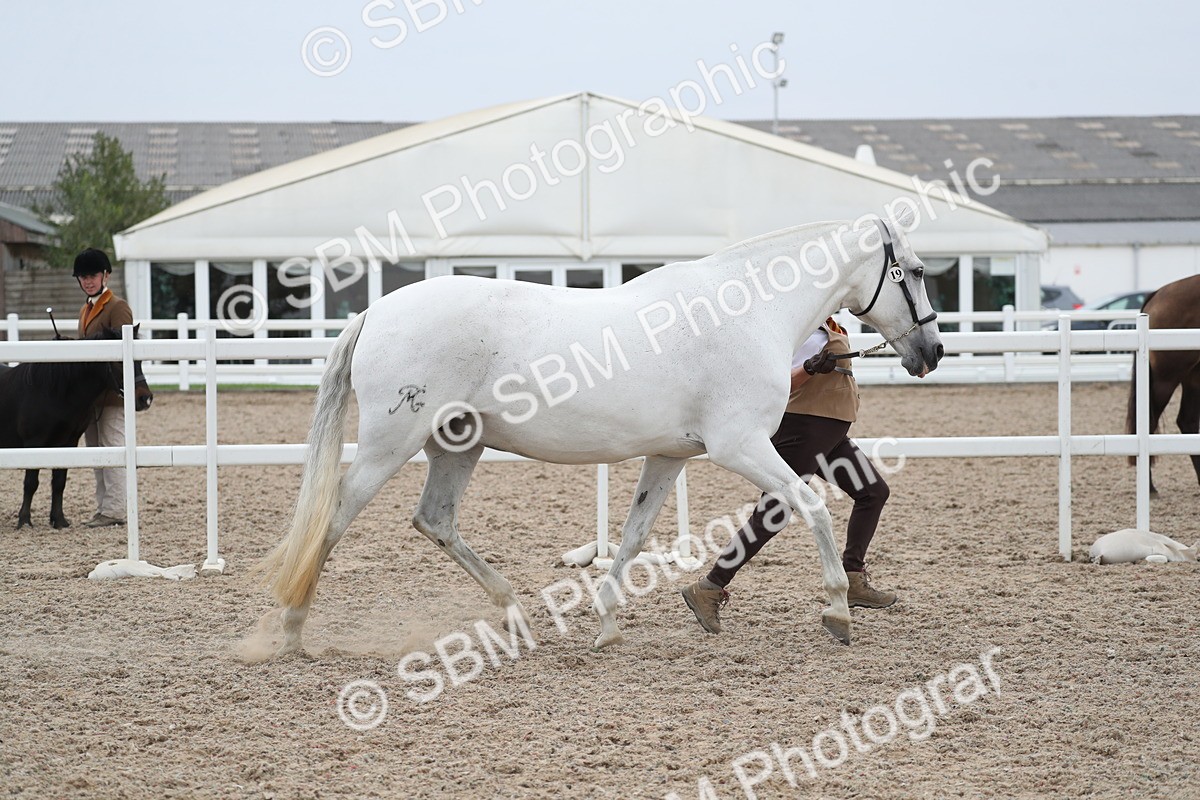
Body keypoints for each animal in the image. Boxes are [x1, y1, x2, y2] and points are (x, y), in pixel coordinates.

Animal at [0, 326, 153, 528]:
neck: (52, 392)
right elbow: (31, 483)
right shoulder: (34, 443)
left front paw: (59, 520)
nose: (145, 399)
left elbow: (59, 482)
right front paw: (24, 520)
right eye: (117, 362)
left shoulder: (68, 442)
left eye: (140, 361)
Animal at [254, 210, 943, 656]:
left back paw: (518, 618)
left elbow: (634, 536)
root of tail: (376, 311)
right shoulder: (741, 446)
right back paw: (291, 631)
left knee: (435, 520)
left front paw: (608, 624)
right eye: (912, 270)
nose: (932, 351)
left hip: (459, 444)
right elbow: (812, 507)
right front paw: (837, 611)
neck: (745, 312)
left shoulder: (669, 456)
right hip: (389, 445)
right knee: (334, 518)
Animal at [1124, 275, 1200, 493]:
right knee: (1150, 423)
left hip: (1193, 377)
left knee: (1188, 421)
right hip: (1166, 378)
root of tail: (1157, 294)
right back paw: (1149, 486)